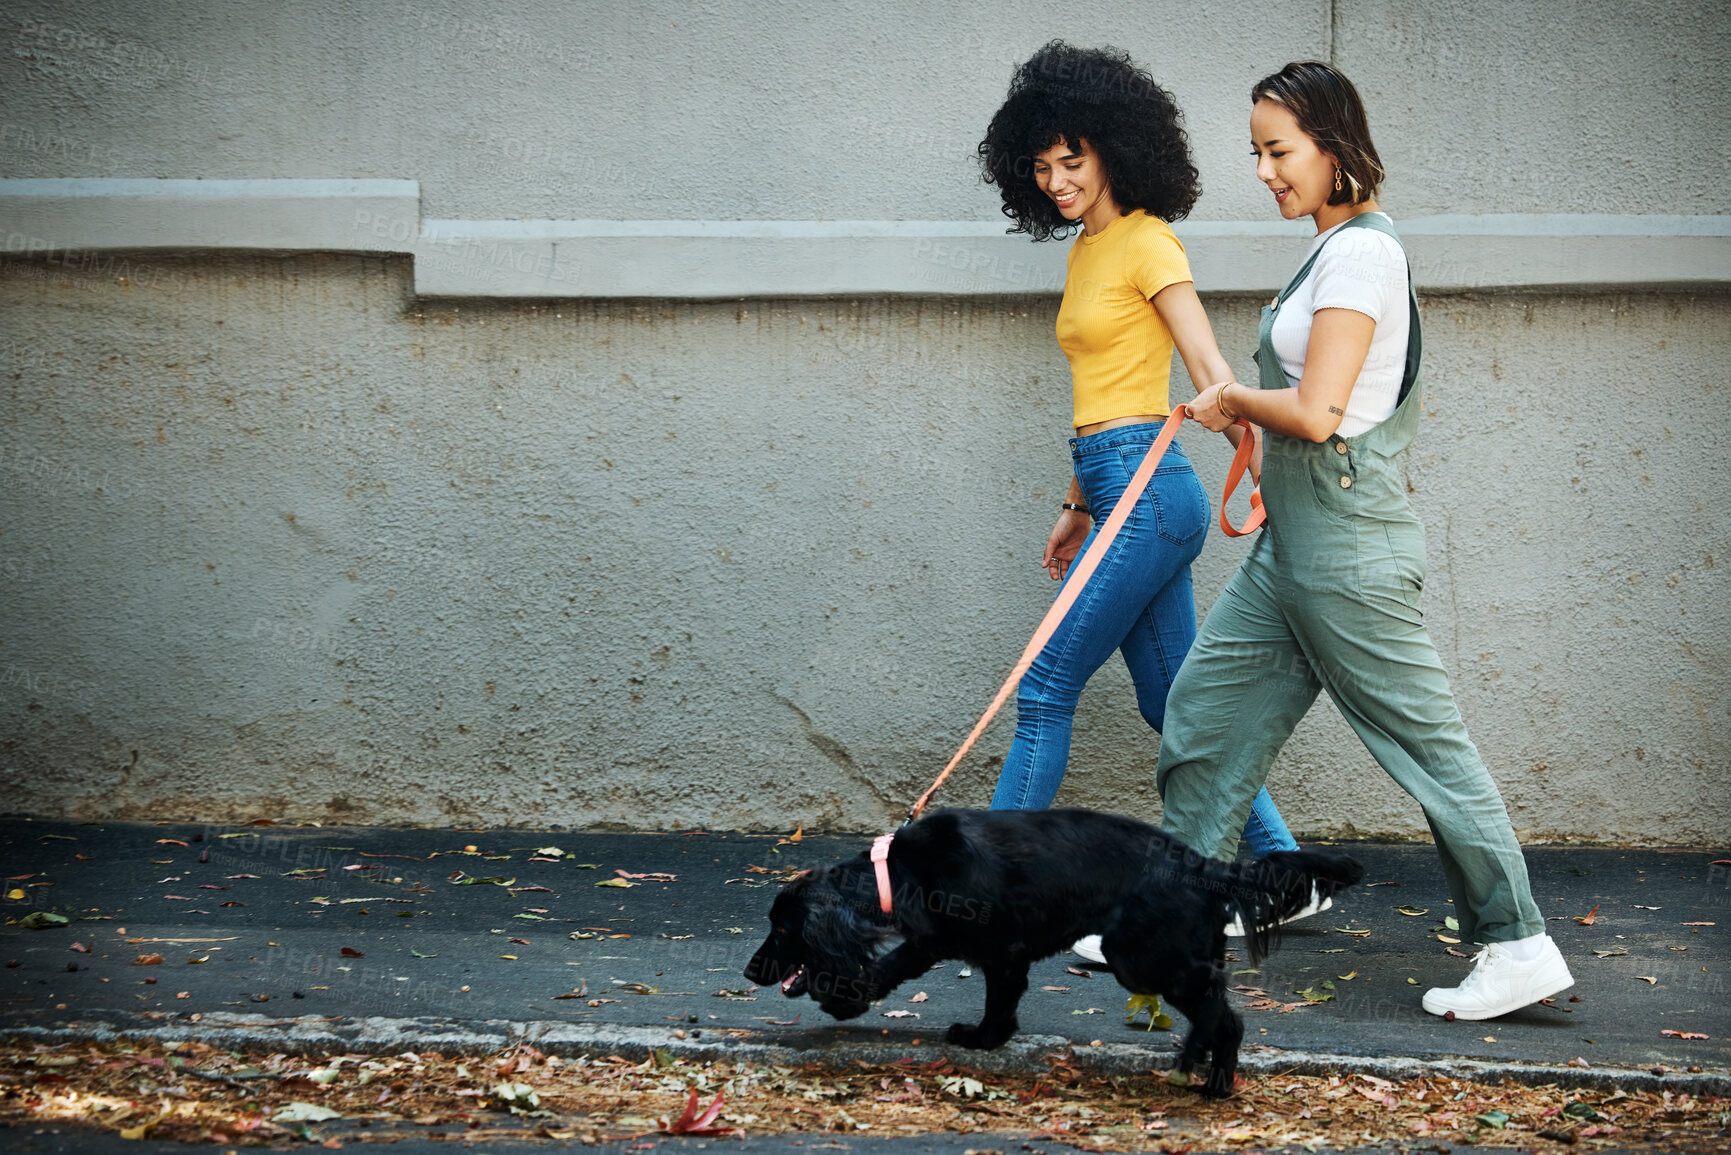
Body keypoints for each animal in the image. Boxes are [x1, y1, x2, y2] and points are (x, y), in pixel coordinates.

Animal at [744, 810, 1364, 1101]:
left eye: (781, 927)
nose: (750, 970)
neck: (897, 870)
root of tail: (1212, 869)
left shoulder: (979, 943)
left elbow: (916, 973)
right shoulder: (977, 947)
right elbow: (989, 993)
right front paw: (991, 1037)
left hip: (1138, 956)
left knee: (1223, 1016)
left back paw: (1205, 1072)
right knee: (1220, 1010)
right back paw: (1207, 1070)